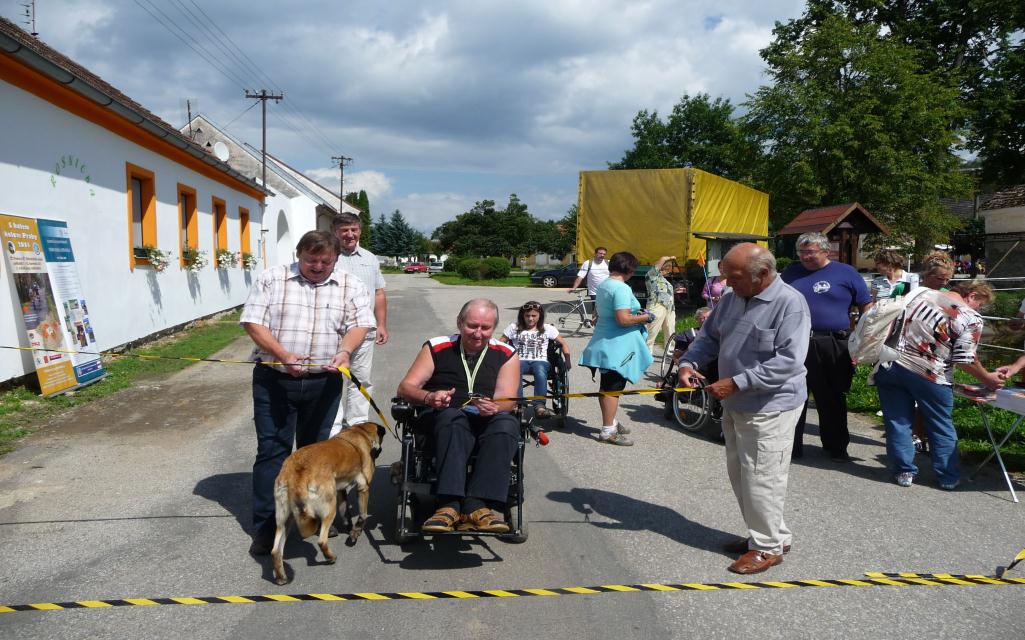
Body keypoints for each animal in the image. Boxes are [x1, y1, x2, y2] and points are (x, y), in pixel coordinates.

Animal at [270, 422, 385, 582]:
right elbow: (363, 515)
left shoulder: (341, 490)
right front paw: (356, 532)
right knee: (322, 541)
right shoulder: (363, 487)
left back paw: (281, 577)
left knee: (275, 551)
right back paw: (331, 557)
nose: (379, 452)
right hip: (329, 508)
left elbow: (346, 512)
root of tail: (297, 472)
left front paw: (350, 528)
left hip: (284, 520)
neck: (360, 431)